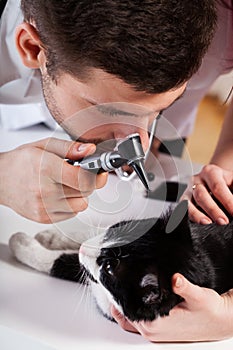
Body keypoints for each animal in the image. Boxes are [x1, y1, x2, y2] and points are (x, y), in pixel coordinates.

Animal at [8, 201, 233, 322]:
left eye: (108, 268)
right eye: (119, 228)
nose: (83, 249)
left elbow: (66, 263)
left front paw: (21, 242)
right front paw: (51, 237)